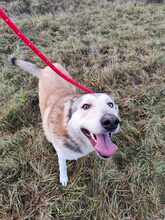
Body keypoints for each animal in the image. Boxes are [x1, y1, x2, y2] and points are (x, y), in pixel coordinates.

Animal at [10, 56, 121, 186]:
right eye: (85, 106)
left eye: (110, 104)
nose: (111, 121)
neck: (70, 134)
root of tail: (47, 67)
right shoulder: (61, 154)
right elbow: (62, 166)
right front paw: (63, 178)